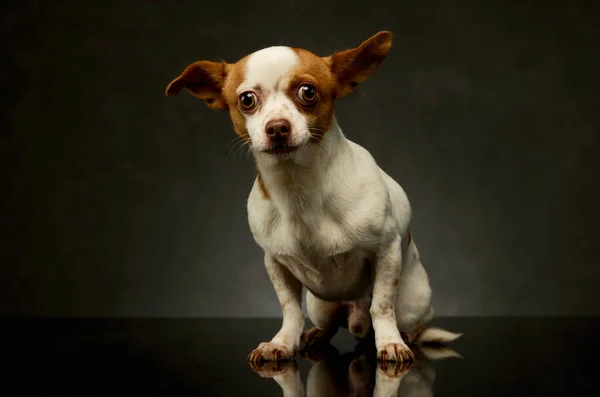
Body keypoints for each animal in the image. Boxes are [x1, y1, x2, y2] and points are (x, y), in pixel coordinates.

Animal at [166, 30, 462, 362]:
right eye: (246, 100)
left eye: (307, 92)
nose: (277, 127)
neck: (298, 188)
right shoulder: (276, 265)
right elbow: (290, 310)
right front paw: (283, 343)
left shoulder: (386, 253)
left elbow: (382, 306)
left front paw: (390, 343)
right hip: (321, 305)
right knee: (329, 325)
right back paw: (316, 335)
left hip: (414, 301)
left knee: (406, 320)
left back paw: (406, 336)